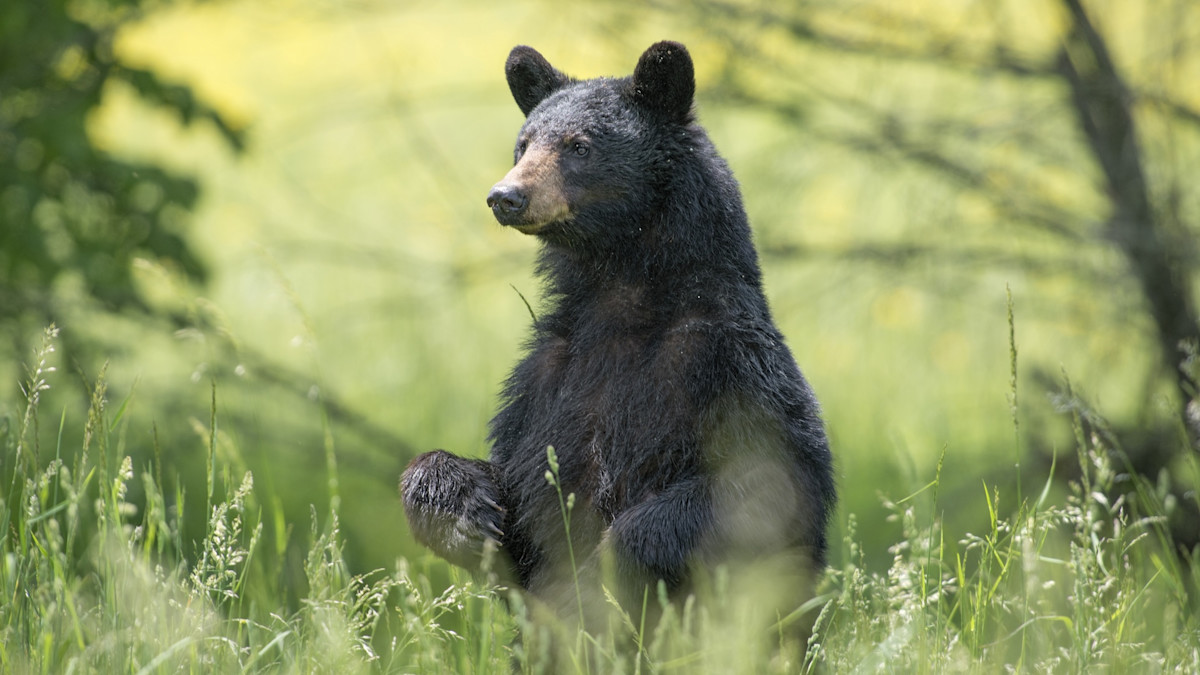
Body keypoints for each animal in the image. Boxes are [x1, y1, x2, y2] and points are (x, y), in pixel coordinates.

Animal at [401, 40, 835, 654]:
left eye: (578, 146)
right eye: (523, 143)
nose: (505, 196)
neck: (620, 301)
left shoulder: (729, 362)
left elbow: (765, 484)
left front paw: (608, 573)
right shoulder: (544, 381)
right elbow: (519, 489)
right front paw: (465, 514)